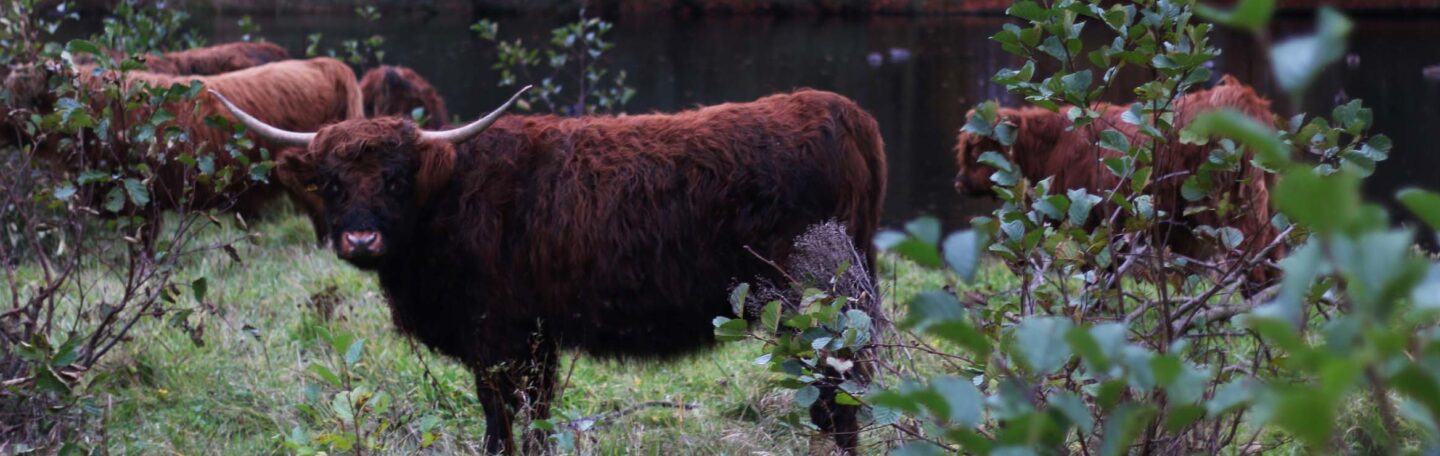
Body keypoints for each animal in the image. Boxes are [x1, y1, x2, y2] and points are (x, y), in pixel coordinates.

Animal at [213, 85, 887, 451]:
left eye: (396, 179)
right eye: (331, 183)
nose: (360, 237)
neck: (449, 200)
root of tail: (842, 111)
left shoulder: (497, 336)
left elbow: (502, 416)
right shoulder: (536, 336)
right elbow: (532, 414)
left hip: (817, 304)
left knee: (838, 395)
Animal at [956, 75, 1284, 287]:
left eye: (974, 151)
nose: (958, 184)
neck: (1053, 145)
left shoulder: (1093, 222)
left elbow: (1098, 276)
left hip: (1228, 204)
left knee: (1251, 257)